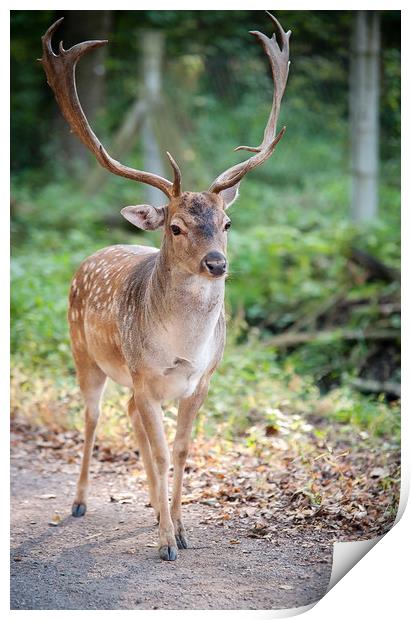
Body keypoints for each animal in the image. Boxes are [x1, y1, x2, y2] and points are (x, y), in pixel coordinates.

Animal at [39, 12, 290, 560]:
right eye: (175, 226)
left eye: (227, 222)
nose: (217, 263)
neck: (183, 349)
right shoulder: (146, 376)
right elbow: (156, 451)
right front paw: (166, 542)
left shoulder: (202, 380)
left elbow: (179, 449)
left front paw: (181, 527)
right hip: (84, 353)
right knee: (92, 417)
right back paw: (80, 502)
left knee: (129, 417)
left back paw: (156, 510)